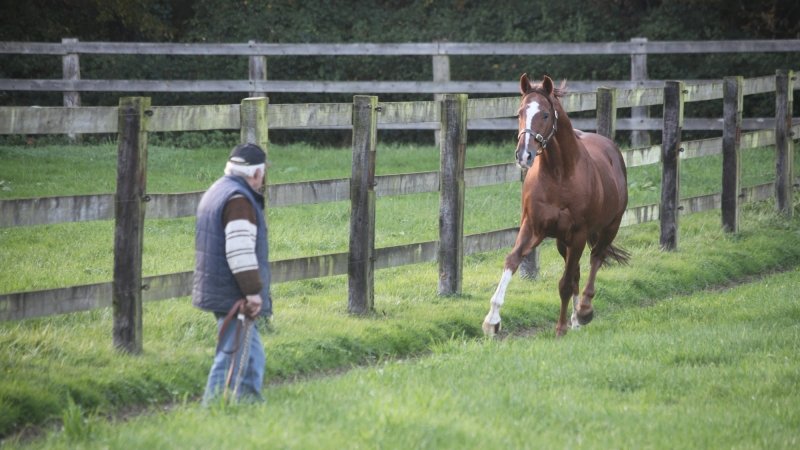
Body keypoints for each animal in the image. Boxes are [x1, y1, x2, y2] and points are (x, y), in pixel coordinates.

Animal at [482, 74, 630, 338]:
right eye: (520, 112)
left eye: (545, 115)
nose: (524, 155)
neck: (559, 175)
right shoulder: (533, 228)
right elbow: (512, 260)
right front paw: (492, 320)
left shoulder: (579, 233)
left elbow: (565, 282)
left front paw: (561, 328)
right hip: (563, 242)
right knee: (578, 271)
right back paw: (576, 319)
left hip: (608, 228)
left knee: (595, 259)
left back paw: (584, 311)